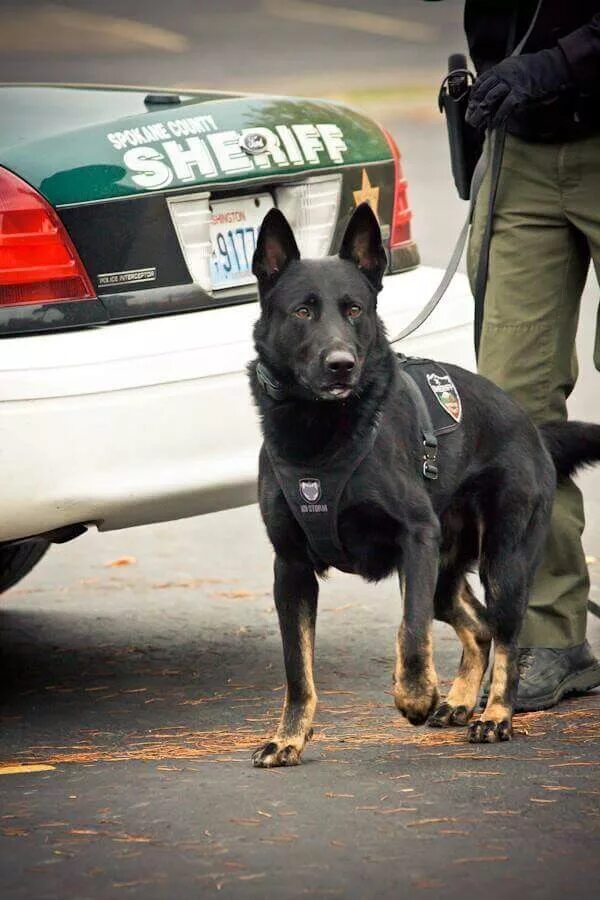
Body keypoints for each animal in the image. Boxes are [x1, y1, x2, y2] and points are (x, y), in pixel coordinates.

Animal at [247, 202, 600, 768]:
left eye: (355, 310)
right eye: (302, 312)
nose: (342, 365)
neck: (321, 436)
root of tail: (533, 428)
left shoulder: (415, 539)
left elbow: (410, 631)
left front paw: (413, 695)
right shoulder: (292, 569)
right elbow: (297, 669)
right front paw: (289, 737)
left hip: (502, 564)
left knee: (505, 635)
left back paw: (493, 715)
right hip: (443, 574)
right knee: (479, 626)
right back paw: (459, 701)